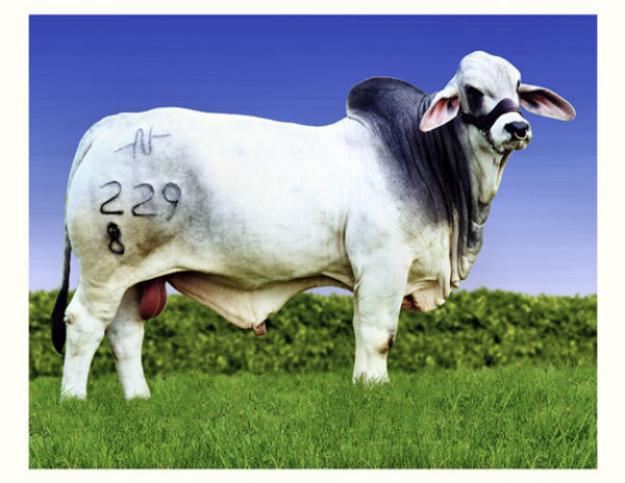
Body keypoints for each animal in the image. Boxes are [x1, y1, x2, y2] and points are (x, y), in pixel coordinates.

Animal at [50, 51, 575, 399]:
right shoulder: (382, 266)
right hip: (104, 267)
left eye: (518, 88)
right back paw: (74, 400)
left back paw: (139, 401)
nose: (517, 128)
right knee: (83, 325)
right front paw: (373, 390)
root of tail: (112, 125)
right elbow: (378, 334)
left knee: (124, 332)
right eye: (472, 92)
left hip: (137, 276)